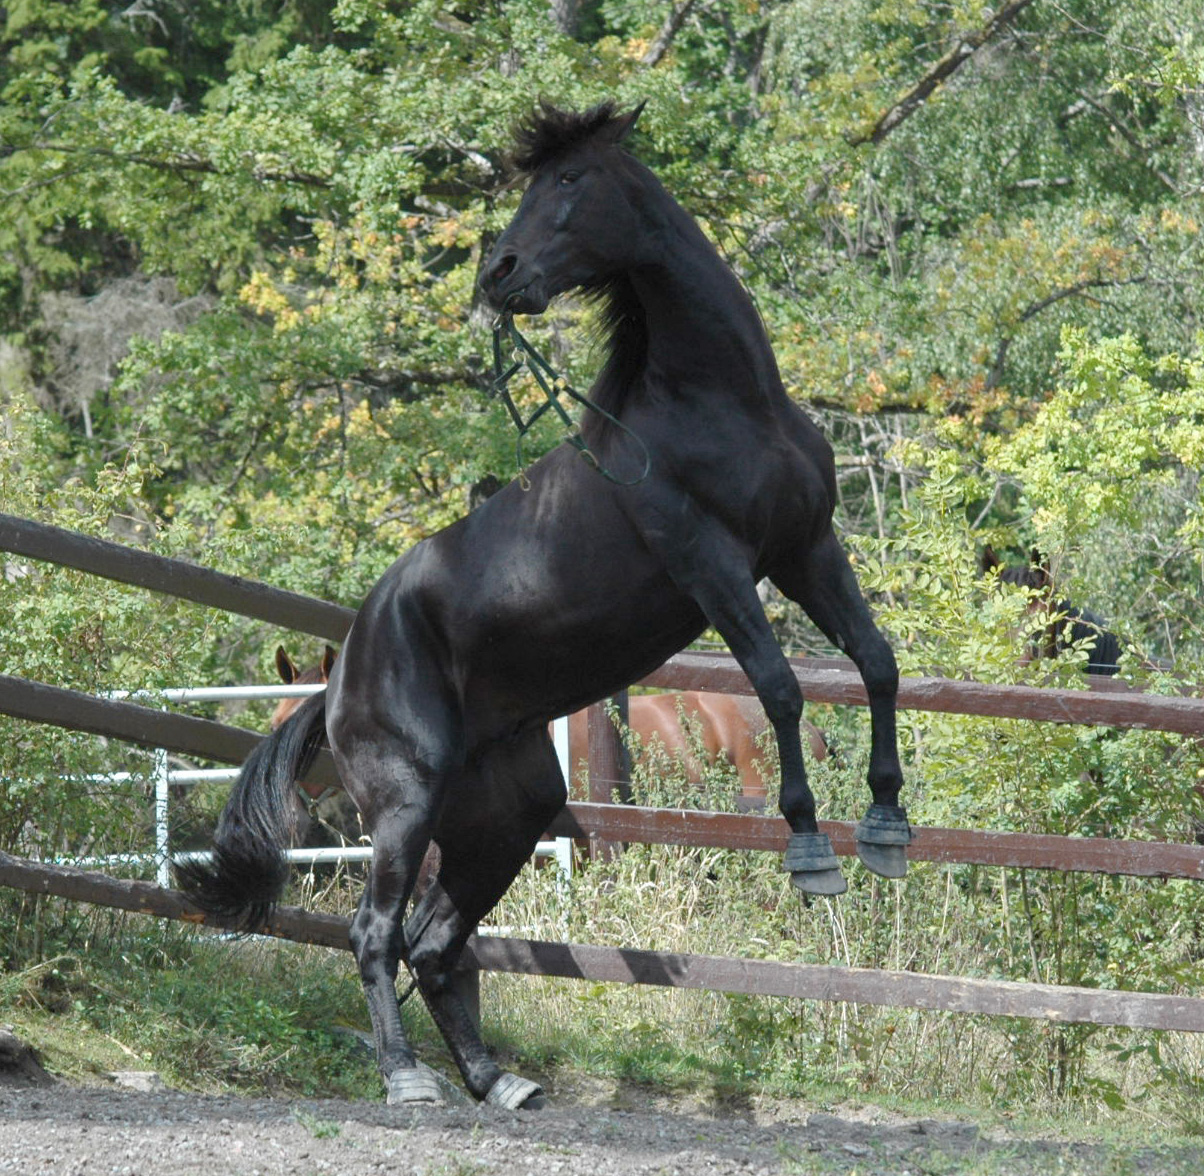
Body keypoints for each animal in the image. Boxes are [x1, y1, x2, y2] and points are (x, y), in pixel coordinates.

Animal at [178, 101, 905, 1112]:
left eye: (568, 181)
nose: (500, 271)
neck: (718, 404)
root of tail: (341, 680)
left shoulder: (806, 551)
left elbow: (875, 662)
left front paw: (885, 828)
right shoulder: (713, 567)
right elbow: (780, 686)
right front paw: (811, 852)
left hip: (506, 818)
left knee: (436, 944)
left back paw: (496, 1081)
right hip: (405, 808)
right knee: (375, 934)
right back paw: (408, 1079)